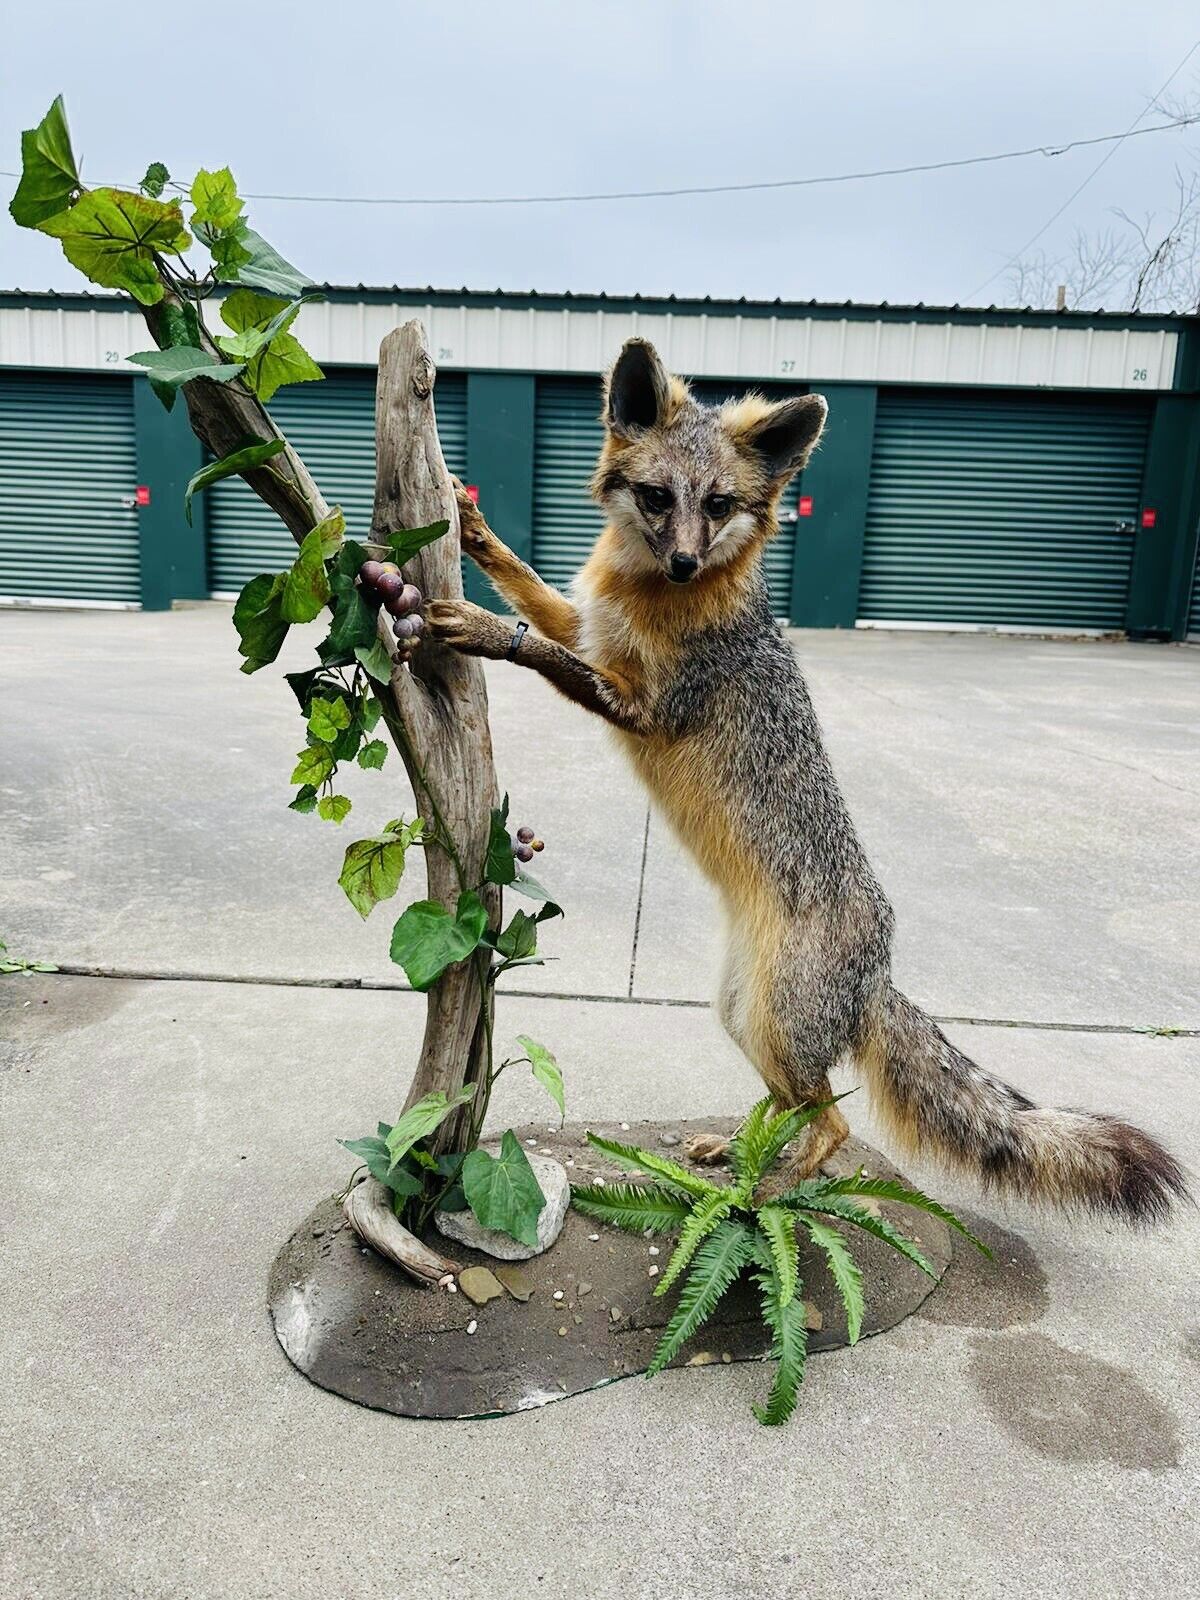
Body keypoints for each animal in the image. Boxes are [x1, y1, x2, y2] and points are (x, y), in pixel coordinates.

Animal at [428, 337, 1190, 1222]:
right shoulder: (591, 629)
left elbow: (542, 651)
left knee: (833, 1124)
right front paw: (474, 531)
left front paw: (483, 629)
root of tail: (881, 966)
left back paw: (775, 1195)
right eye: (656, 497)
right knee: (796, 1106)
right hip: (742, 1019)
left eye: (719, 504)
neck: (650, 593)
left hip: (775, 1029)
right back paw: (734, 1151)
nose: (684, 562)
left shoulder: (643, 704)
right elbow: (530, 591)